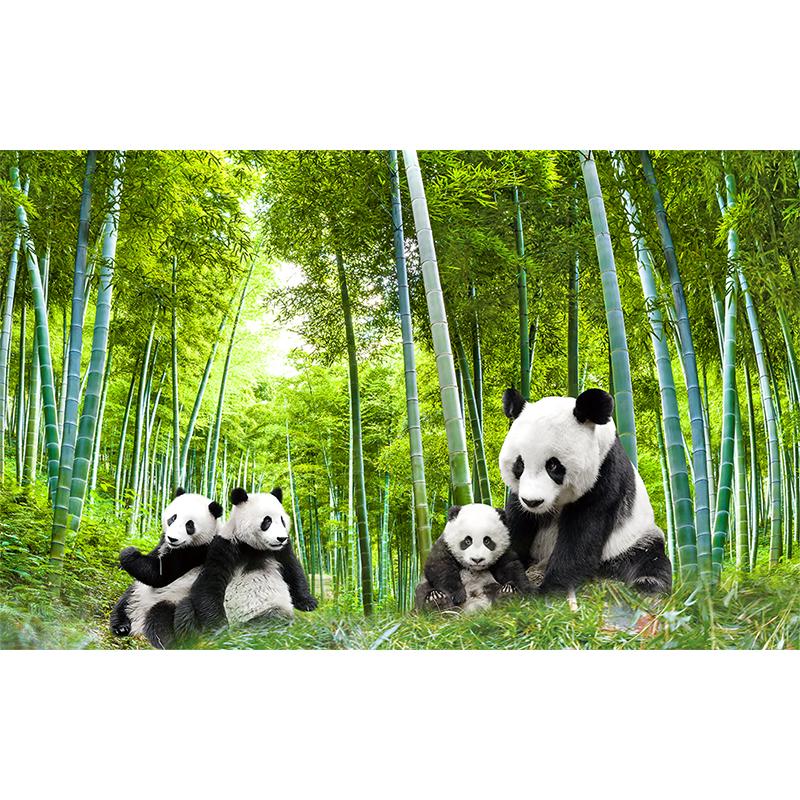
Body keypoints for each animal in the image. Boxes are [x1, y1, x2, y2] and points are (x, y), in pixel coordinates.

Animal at [109, 488, 222, 648]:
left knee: (161, 615)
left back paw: (163, 642)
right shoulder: (162, 543)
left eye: (190, 525)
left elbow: (159, 575)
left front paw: (128, 552)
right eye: (173, 518)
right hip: (137, 592)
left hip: (171, 599)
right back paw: (121, 626)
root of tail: (137, 625)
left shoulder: (196, 552)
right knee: (124, 602)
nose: (172, 539)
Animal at [174, 486, 317, 636]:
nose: (281, 538)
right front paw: (219, 627)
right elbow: (209, 582)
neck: (253, 547)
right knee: (186, 609)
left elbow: (293, 570)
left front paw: (309, 603)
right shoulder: (226, 546)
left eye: (282, 520)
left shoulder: (281, 550)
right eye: (267, 521)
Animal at [499, 387, 672, 596]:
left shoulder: (604, 475)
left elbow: (582, 534)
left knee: (649, 561)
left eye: (553, 465)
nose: (533, 502)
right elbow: (517, 522)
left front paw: (550, 590)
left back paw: (646, 587)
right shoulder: (519, 496)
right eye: (520, 465)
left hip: (633, 539)